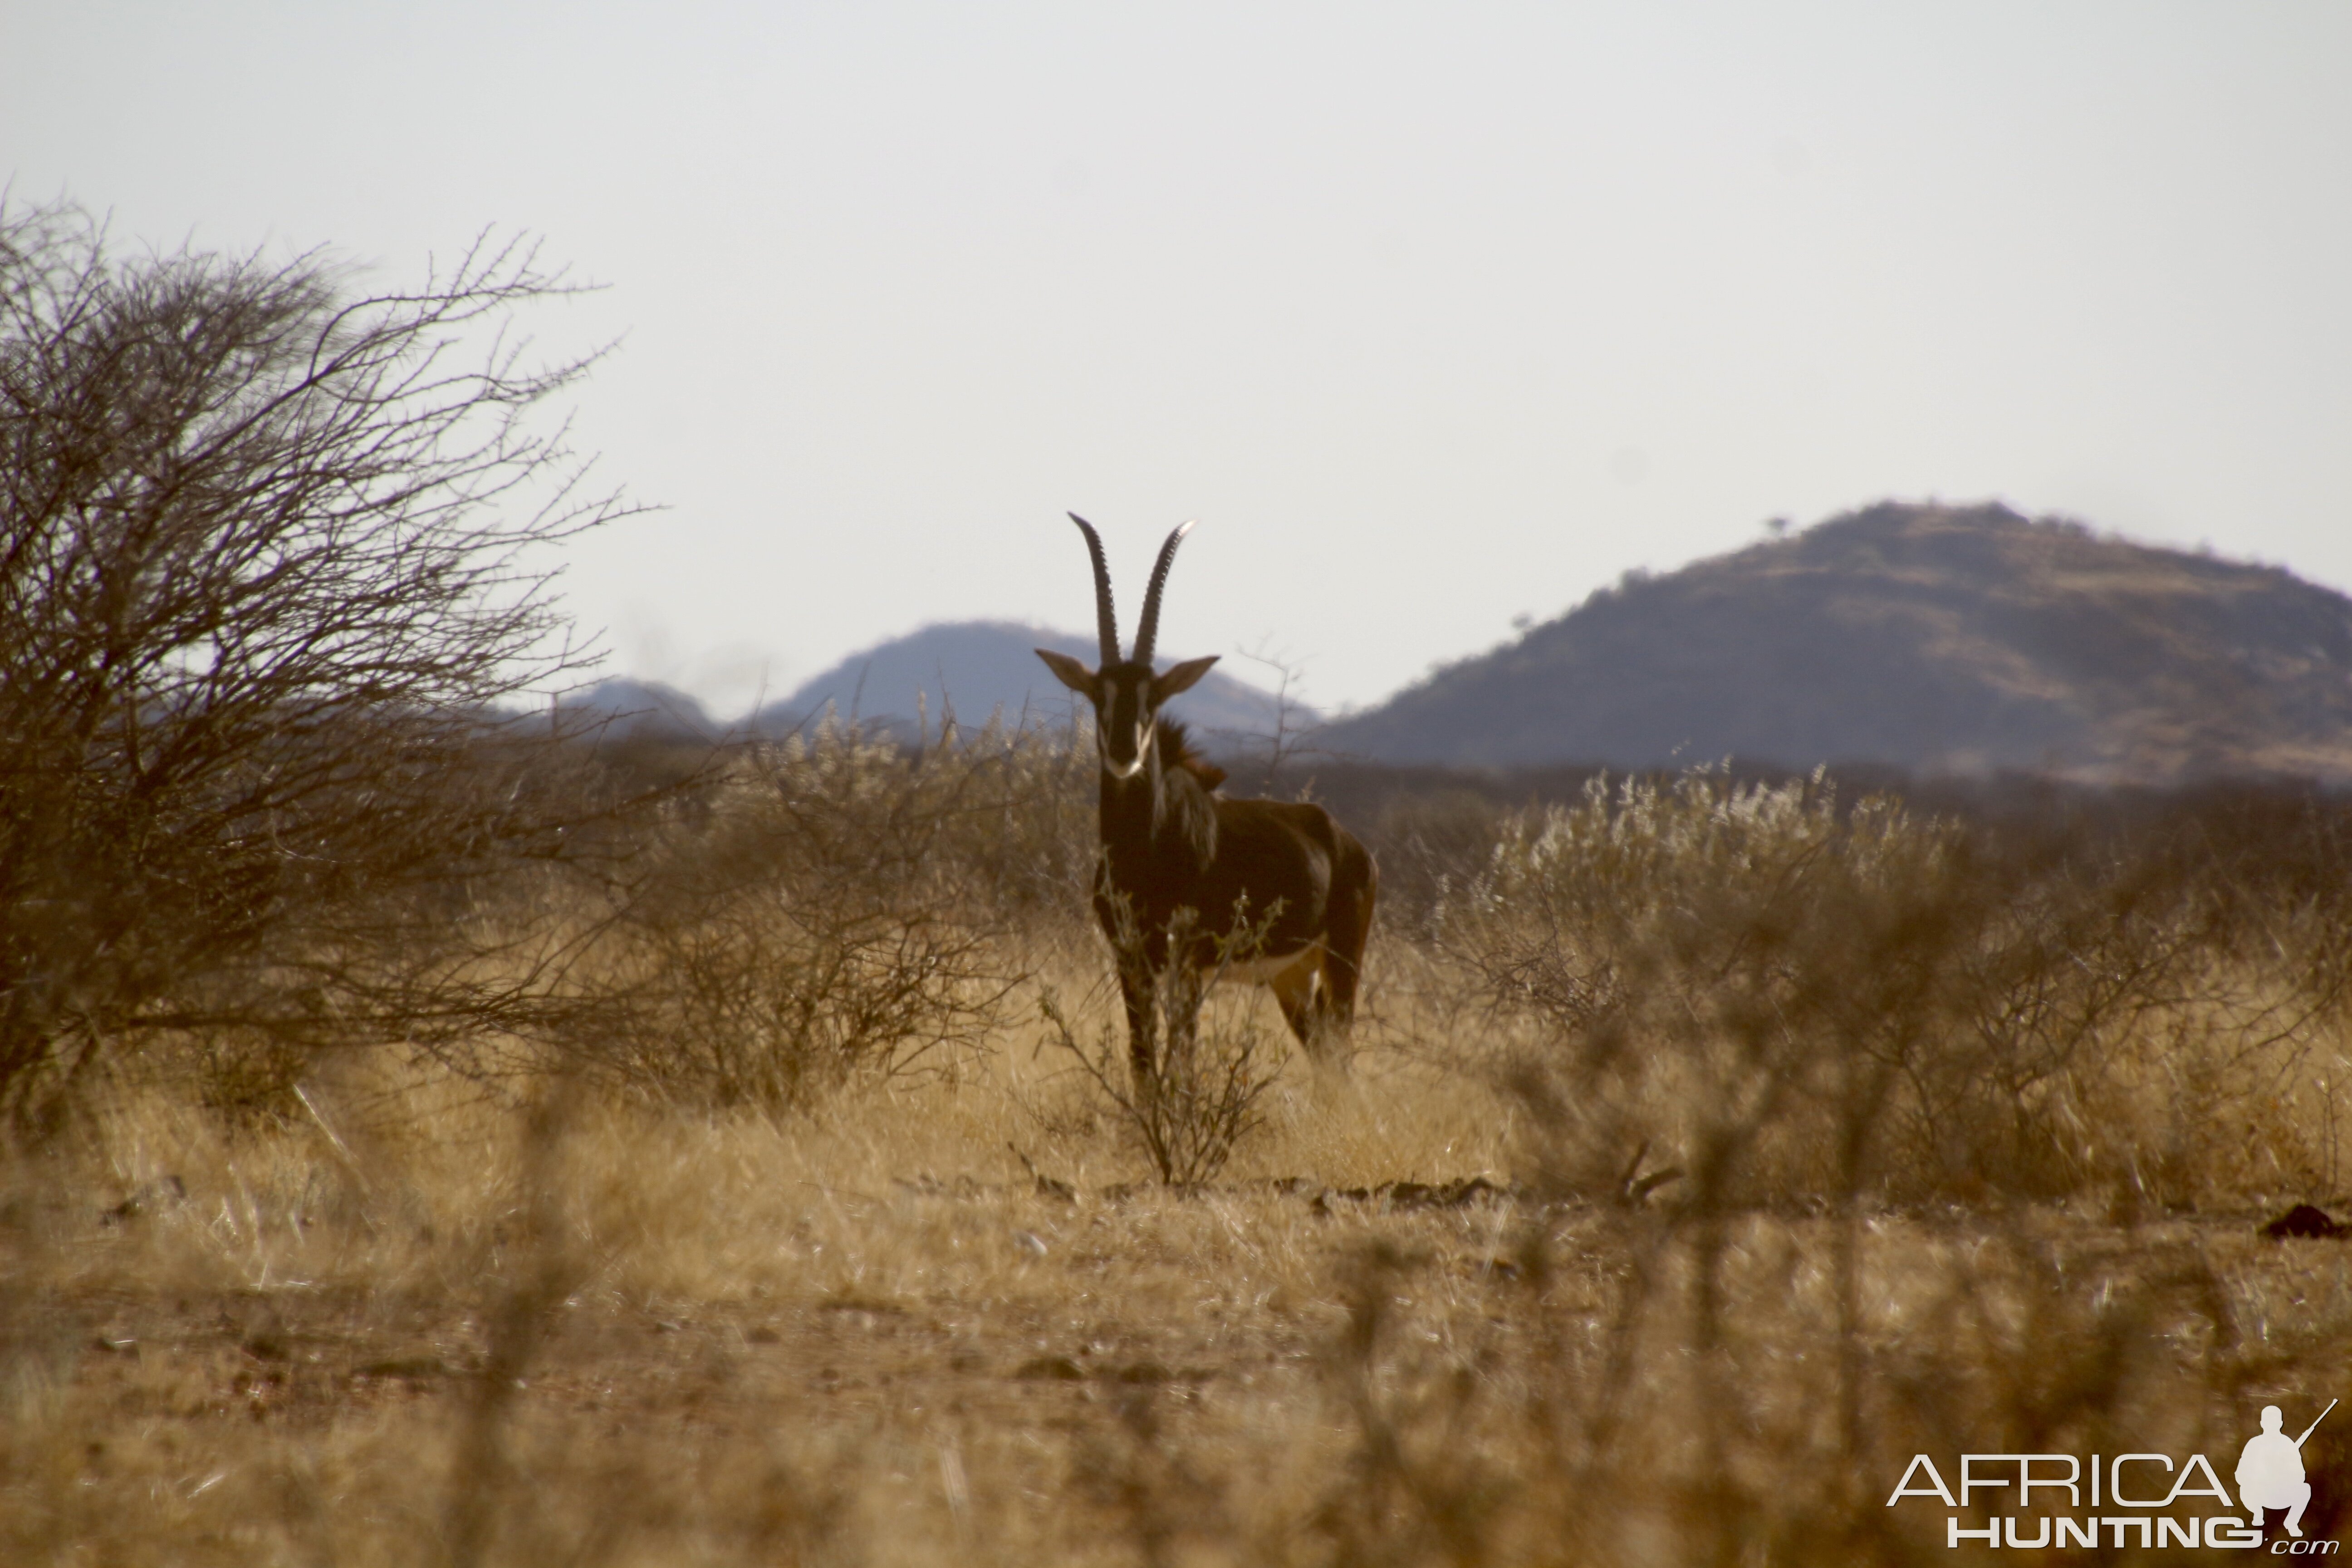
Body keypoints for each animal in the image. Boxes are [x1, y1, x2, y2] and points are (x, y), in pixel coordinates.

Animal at [1034, 514, 1373, 1091]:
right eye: (1099, 695)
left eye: (1154, 697)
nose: (1124, 751)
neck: (1142, 848)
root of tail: (1346, 841)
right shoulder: (1132, 959)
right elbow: (1142, 1059)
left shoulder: (1187, 962)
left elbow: (1182, 1060)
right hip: (1292, 977)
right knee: (1327, 1057)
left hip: (1342, 961)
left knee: (1342, 1057)